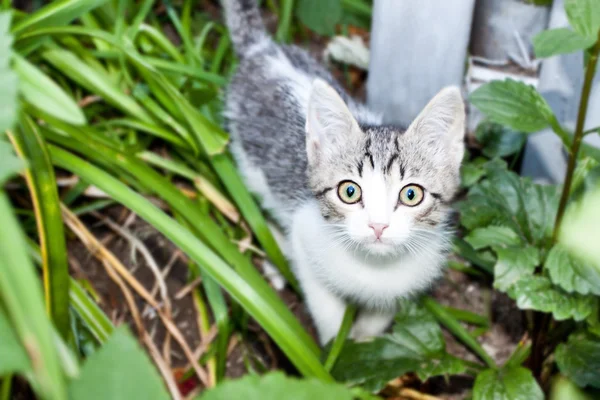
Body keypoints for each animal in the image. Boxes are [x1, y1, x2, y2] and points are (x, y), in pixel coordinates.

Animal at [223, 0, 466, 344]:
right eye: (349, 191)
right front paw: (332, 347)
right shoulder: (307, 236)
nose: (378, 226)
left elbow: (380, 316)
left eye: (411, 194)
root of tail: (264, 49)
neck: (373, 268)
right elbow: (324, 305)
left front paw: (365, 339)